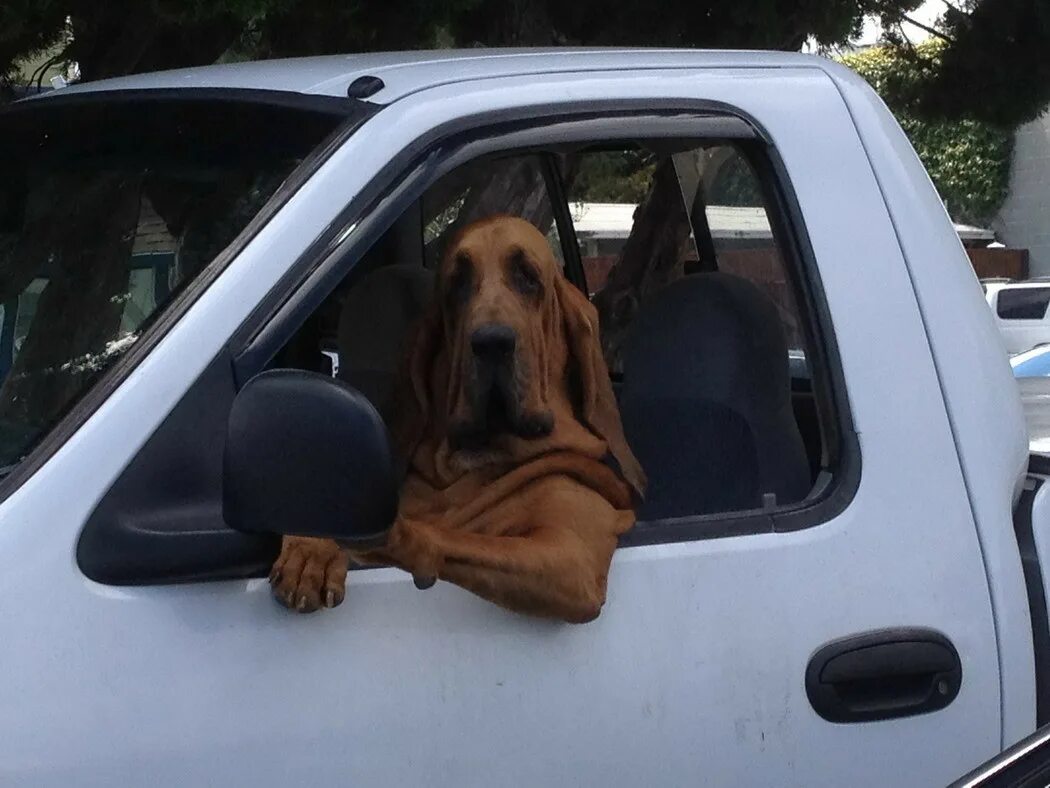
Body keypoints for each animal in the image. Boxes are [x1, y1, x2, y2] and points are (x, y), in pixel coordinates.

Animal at [270, 214, 642, 621]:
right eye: (457, 283)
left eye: (528, 277)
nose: (491, 342)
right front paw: (311, 548)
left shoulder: (571, 558)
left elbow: (457, 538)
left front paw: (385, 536)